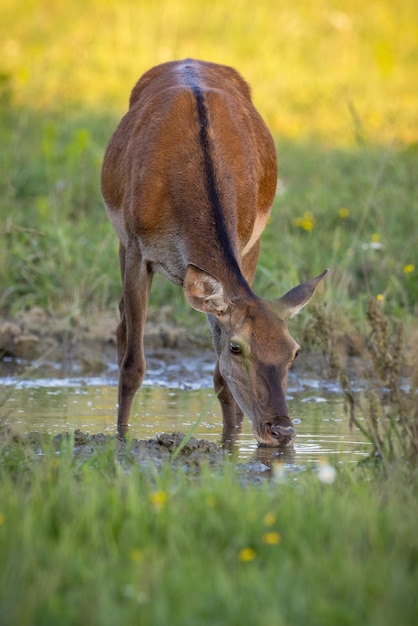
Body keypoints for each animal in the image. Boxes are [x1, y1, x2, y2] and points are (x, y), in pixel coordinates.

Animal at [100, 58, 326, 444]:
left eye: (294, 351)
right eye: (237, 347)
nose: (281, 430)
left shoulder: (249, 243)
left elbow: (221, 379)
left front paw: (230, 445)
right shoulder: (136, 248)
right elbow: (134, 365)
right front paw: (121, 441)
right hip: (120, 238)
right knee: (121, 327)